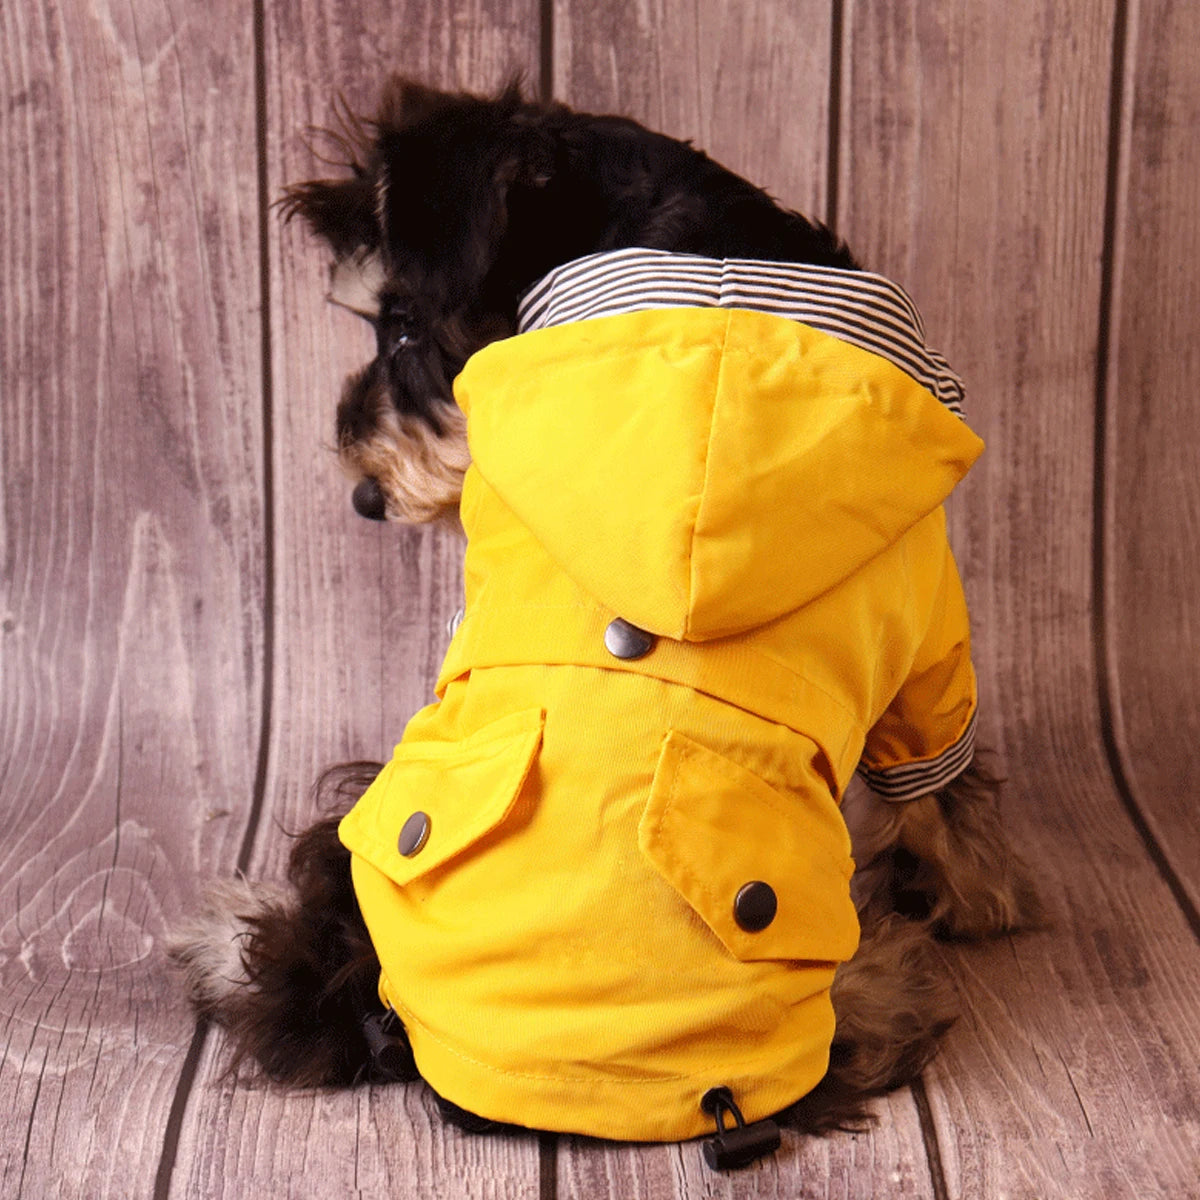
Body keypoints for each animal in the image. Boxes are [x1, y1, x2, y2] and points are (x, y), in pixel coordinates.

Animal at [169, 75, 1041, 1161]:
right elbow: (941, 782)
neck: (708, 282)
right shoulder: (930, 638)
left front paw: (982, 891)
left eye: (404, 326)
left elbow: (942, 782)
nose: (366, 494)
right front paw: (985, 894)